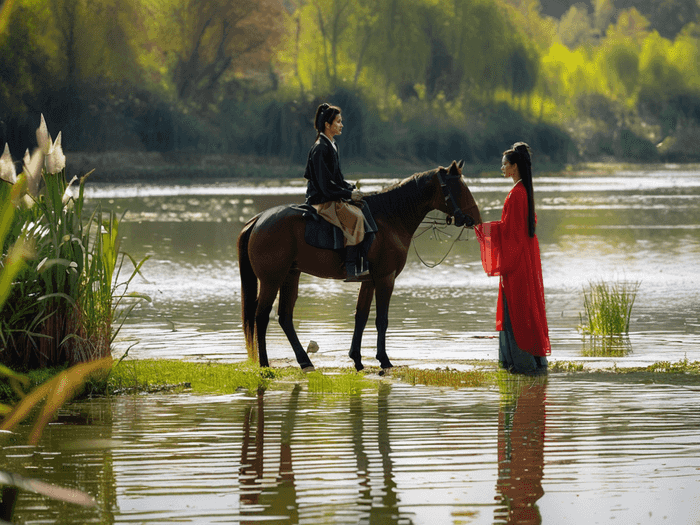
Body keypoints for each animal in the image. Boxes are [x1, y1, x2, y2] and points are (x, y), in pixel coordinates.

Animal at [237, 158, 482, 370]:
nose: (476, 219)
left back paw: (305, 361)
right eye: (459, 188)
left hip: (291, 275)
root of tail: (258, 219)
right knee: (261, 316)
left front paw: (357, 358)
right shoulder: (385, 278)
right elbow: (381, 319)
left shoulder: (369, 280)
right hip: (271, 280)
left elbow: (361, 317)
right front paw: (384, 359)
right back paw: (265, 363)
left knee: (285, 317)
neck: (390, 218)